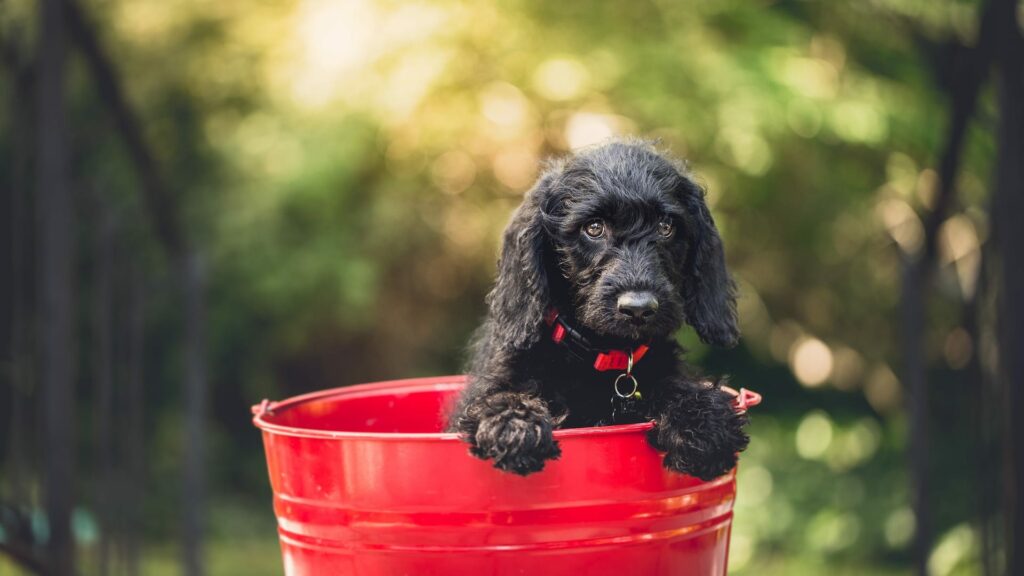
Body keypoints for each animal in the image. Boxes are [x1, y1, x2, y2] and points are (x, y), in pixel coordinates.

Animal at [452, 140, 749, 479]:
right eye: (593, 228)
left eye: (666, 227)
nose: (639, 308)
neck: (601, 354)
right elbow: (500, 396)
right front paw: (513, 425)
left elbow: (677, 385)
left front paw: (703, 421)